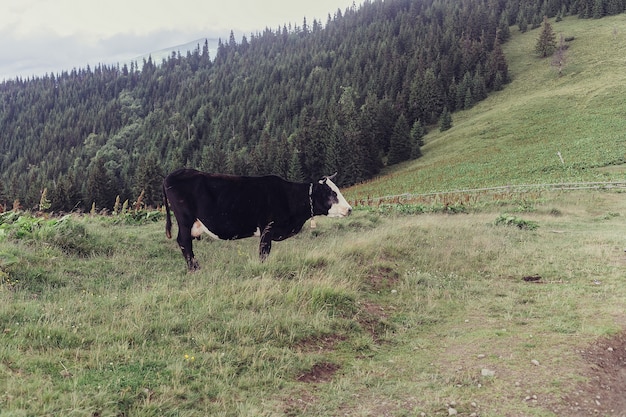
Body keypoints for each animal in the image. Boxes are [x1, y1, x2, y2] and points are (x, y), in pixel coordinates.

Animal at [161, 167, 352, 272]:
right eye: (331, 193)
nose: (349, 209)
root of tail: (173, 174)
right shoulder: (267, 228)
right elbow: (264, 252)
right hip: (185, 220)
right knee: (184, 241)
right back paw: (195, 268)